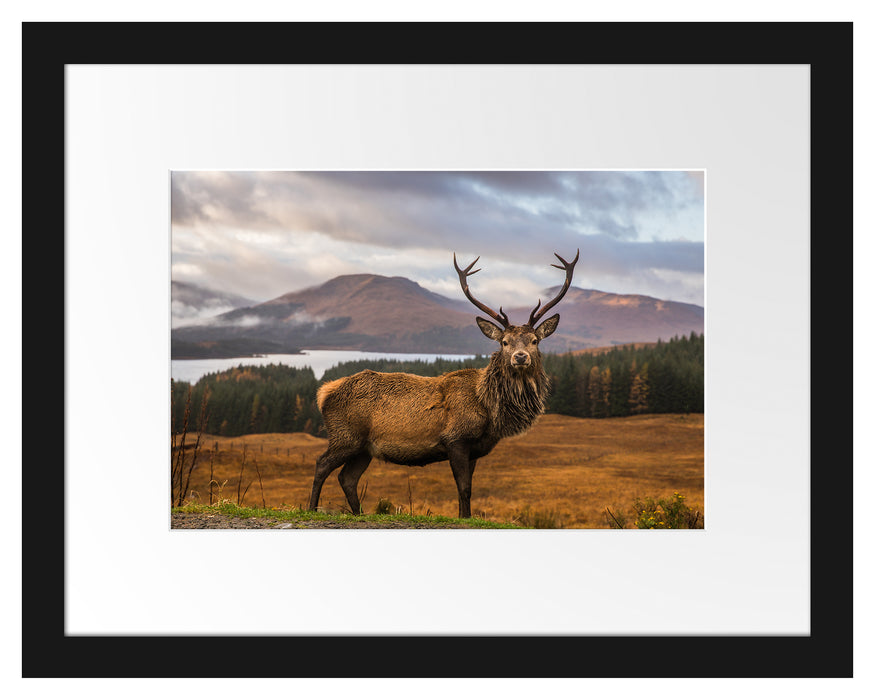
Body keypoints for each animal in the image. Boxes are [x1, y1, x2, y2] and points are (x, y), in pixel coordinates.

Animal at [308, 249, 579, 518]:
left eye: (534, 341)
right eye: (504, 342)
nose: (520, 357)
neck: (488, 409)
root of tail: (324, 393)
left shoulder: (474, 449)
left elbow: (466, 489)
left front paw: (464, 516)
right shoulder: (455, 438)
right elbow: (464, 488)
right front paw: (465, 516)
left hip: (364, 448)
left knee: (347, 478)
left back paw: (359, 513)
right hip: (346, 435)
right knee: (322, 464)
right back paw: (312, 508)